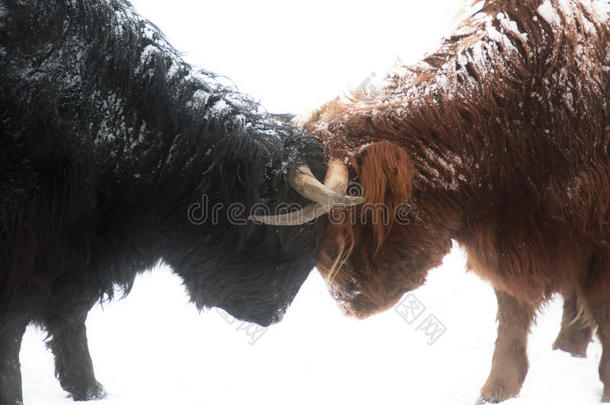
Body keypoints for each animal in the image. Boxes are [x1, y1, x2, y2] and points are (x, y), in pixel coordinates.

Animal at [0, 1, 360, 402]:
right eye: (284, 235)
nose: (274, 313)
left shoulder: (78, 262)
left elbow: (70, 322)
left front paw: (90, 390)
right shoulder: (24, 259)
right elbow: (14, 339)